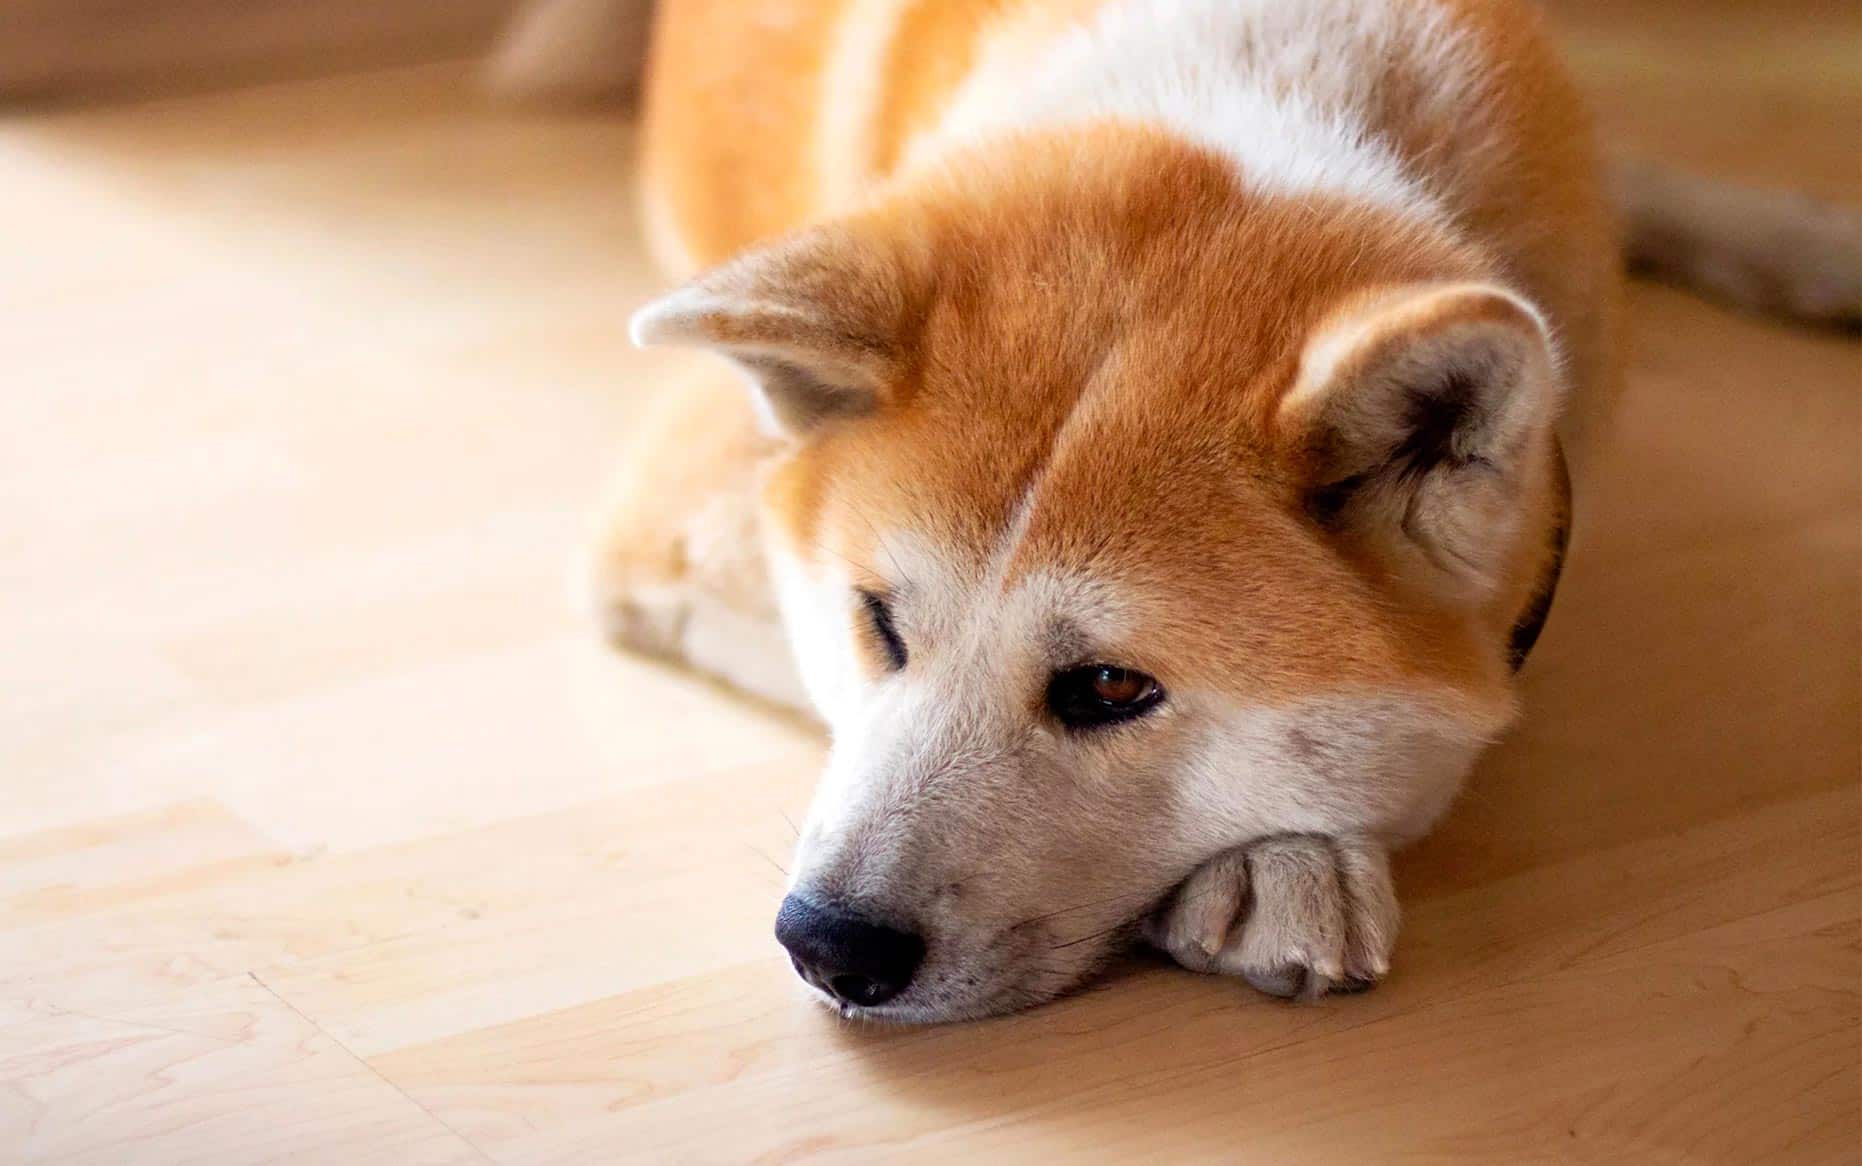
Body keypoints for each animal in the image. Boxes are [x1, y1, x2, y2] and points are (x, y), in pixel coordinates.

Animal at [499, 0, 1862, 1013]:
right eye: (877, 623)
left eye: (1109, 686)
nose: (827, 944)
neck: (1261, 94)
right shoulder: (673, 524)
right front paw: (1285, 863)